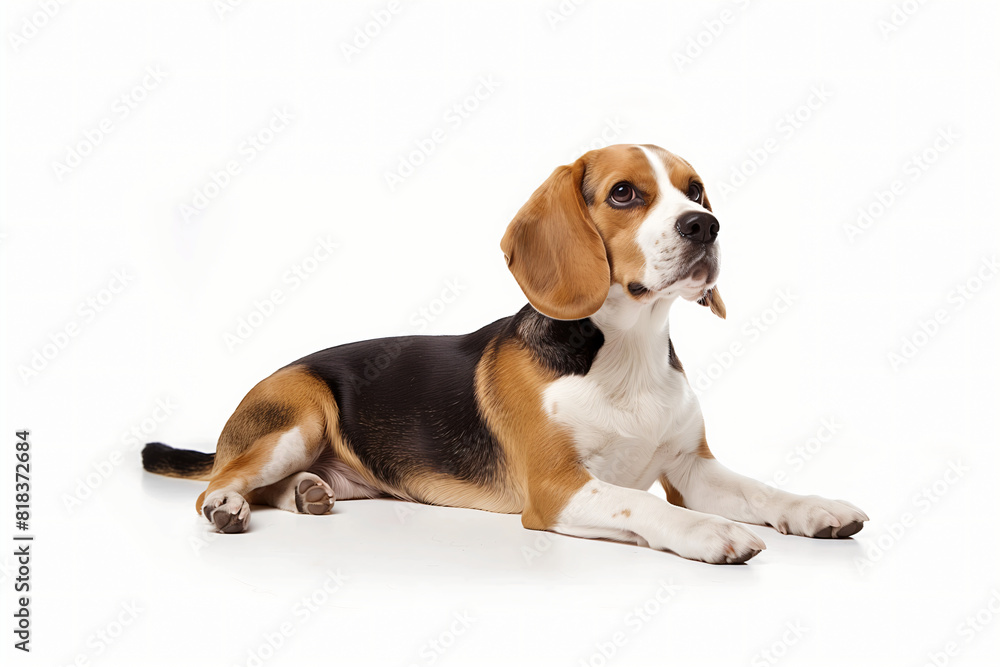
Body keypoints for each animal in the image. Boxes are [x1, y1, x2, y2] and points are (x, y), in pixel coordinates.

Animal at [143, 142, 868, 564]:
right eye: (624, 193)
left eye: (694, 190)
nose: (705, 226)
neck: (628, 350)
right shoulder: (558, 487)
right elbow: (648, 506)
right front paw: (710, 532)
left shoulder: (692, 467)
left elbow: (759, 487)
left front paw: (816, 509)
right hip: (298, 417)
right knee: (218, 483)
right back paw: (230, 504)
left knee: (270, 486)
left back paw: (307, 494)